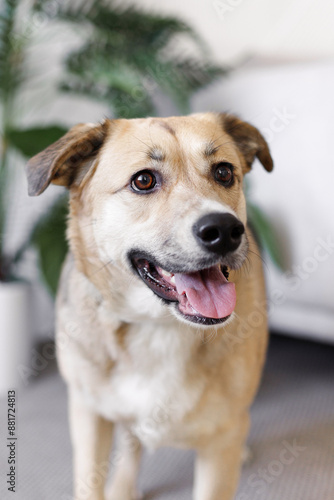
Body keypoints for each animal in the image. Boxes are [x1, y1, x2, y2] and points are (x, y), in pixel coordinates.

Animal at [26, 113, 274, 500]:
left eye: (223, 172)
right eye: (143, 181)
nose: (225, 230)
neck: (158, 324)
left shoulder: (221, 442)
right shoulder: (88, 414)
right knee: (131, 440)